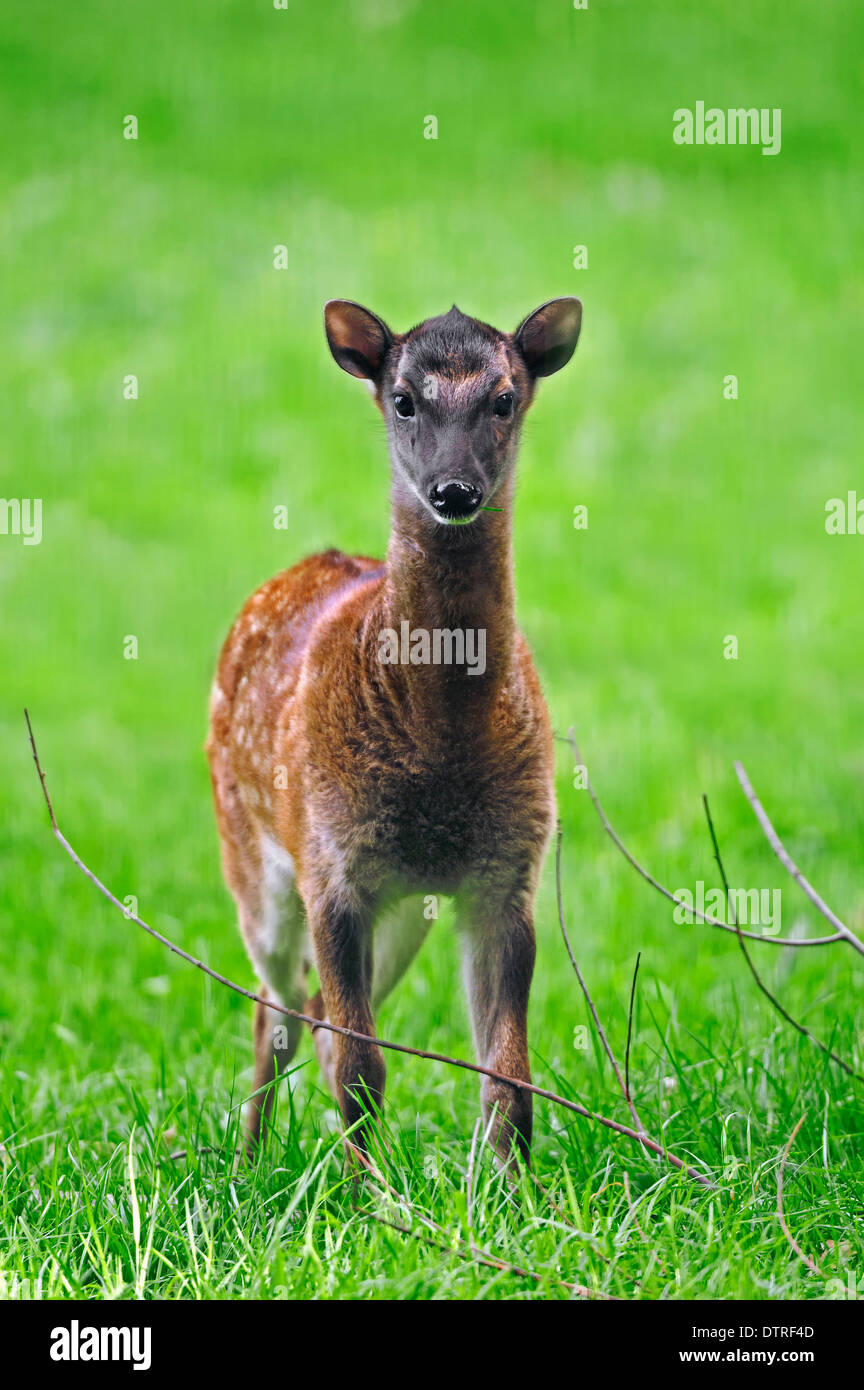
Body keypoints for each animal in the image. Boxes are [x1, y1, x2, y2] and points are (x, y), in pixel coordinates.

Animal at [209, 298, 586, 1167]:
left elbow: (508, 1076)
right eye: (405, 399)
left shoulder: (507, 871)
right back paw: (248, 1160)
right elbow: (359, 1066)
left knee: (311, 1014)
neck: (440, 748)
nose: (453, 489)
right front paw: (363, 1197)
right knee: (274, 1008)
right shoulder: (332, 864)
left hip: (407, 909)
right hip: (251, 854)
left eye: (504, 399)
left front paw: (515, 1191)